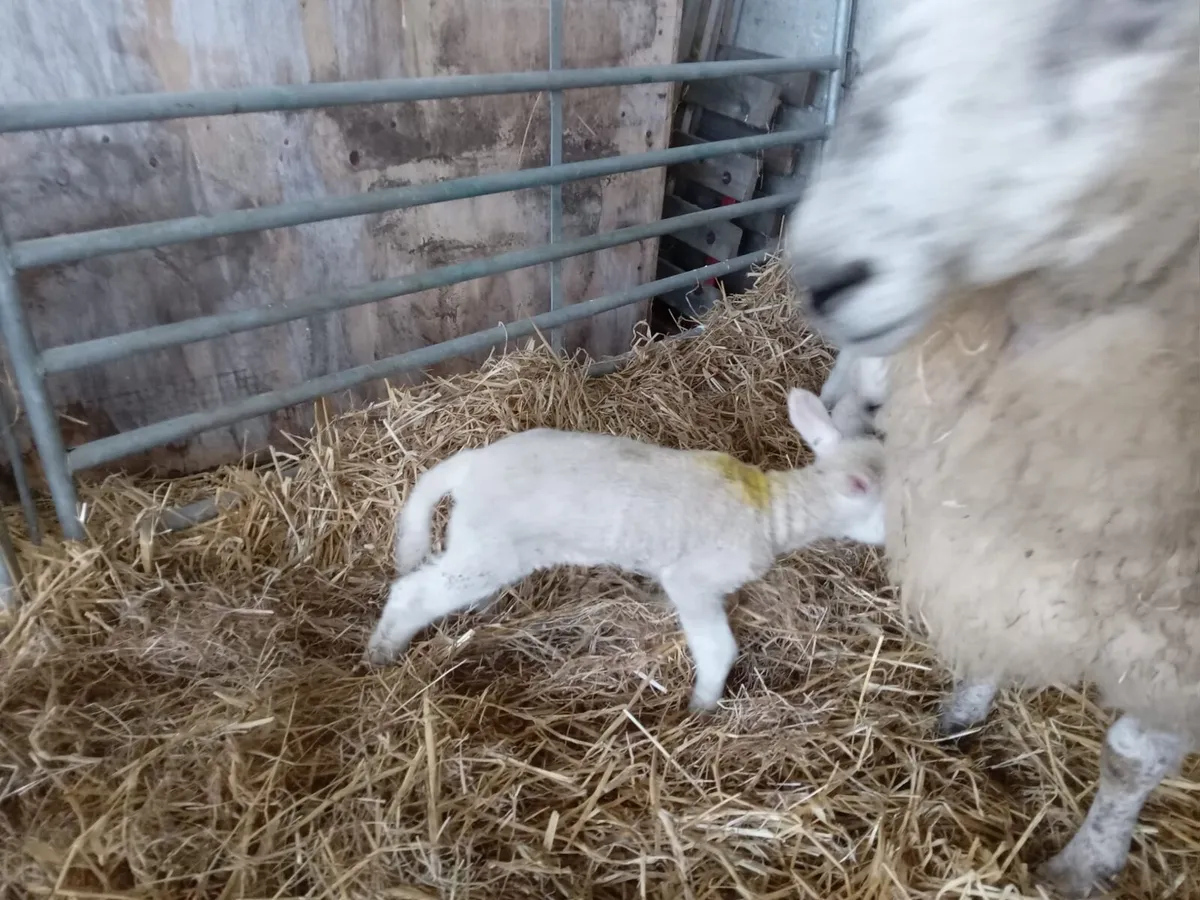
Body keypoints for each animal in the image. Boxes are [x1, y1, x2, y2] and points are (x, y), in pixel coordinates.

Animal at [366, 388, 885, 711]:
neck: (771, 513)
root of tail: (469, 464)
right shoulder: (693, 579)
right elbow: (718, 647)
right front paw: (703, 705)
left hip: (476, 540)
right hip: (489, 548)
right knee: (414, 592)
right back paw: (382, 650)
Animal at [781, 1, 1198, 896]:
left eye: (1136, 20)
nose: (824, 272)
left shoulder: (1177, 648)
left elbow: (1129, 760)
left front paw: (1083, 864)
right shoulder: (992, 527)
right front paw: (964, 710)